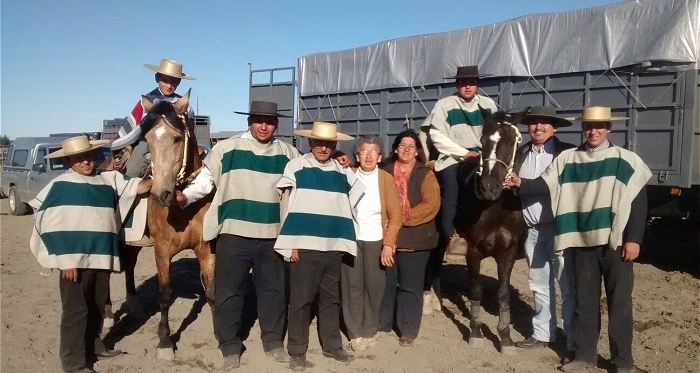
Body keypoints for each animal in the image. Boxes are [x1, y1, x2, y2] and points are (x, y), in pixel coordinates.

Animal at [133, 89, 215, 358]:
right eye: (148, 140)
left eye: (178, 138)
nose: (161, 194)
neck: (185, 208)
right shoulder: (161, 251)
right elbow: (165, 294)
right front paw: (165, 341)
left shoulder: (205, 248)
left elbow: (211, 292)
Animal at [456, 105, 528, 354]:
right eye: (484, 141)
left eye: (510, 142)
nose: (489, 187)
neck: (494, 209)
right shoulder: (473, 251)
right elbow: (476, 290)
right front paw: (476, 333)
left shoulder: (508, 252)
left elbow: (503, 294)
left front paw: (505, 337)